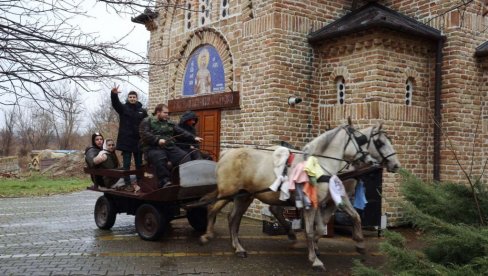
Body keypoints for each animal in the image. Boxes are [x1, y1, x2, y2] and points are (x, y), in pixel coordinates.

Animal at [200, 124, 376, 270]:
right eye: (361, 140)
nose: (371, 161)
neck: (318, 166)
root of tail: (226, 153)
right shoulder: (312, 204)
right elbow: (310, 231)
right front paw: (315, 260)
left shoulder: (321, 202)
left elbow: (323, 225)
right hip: (228, 193)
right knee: (213, 209)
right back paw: (208, 235)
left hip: (243, 196)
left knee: (233, 218)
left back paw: (238, 248)